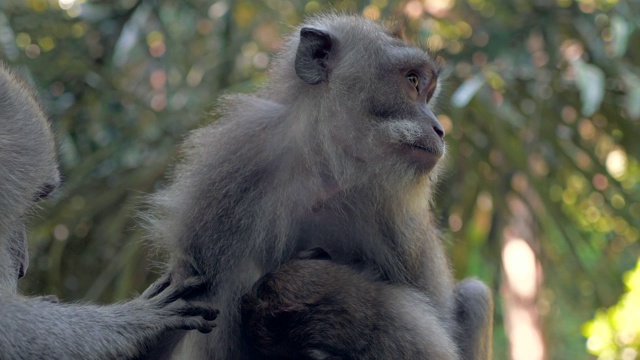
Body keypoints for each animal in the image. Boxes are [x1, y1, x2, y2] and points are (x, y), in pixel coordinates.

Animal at [146, 14, 496, 360]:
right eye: (412, 81)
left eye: (427, 90)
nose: (439, 129)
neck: (325, 167)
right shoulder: (224, 172)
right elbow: (191, 288)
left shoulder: (405, 228)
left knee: (475, 295)